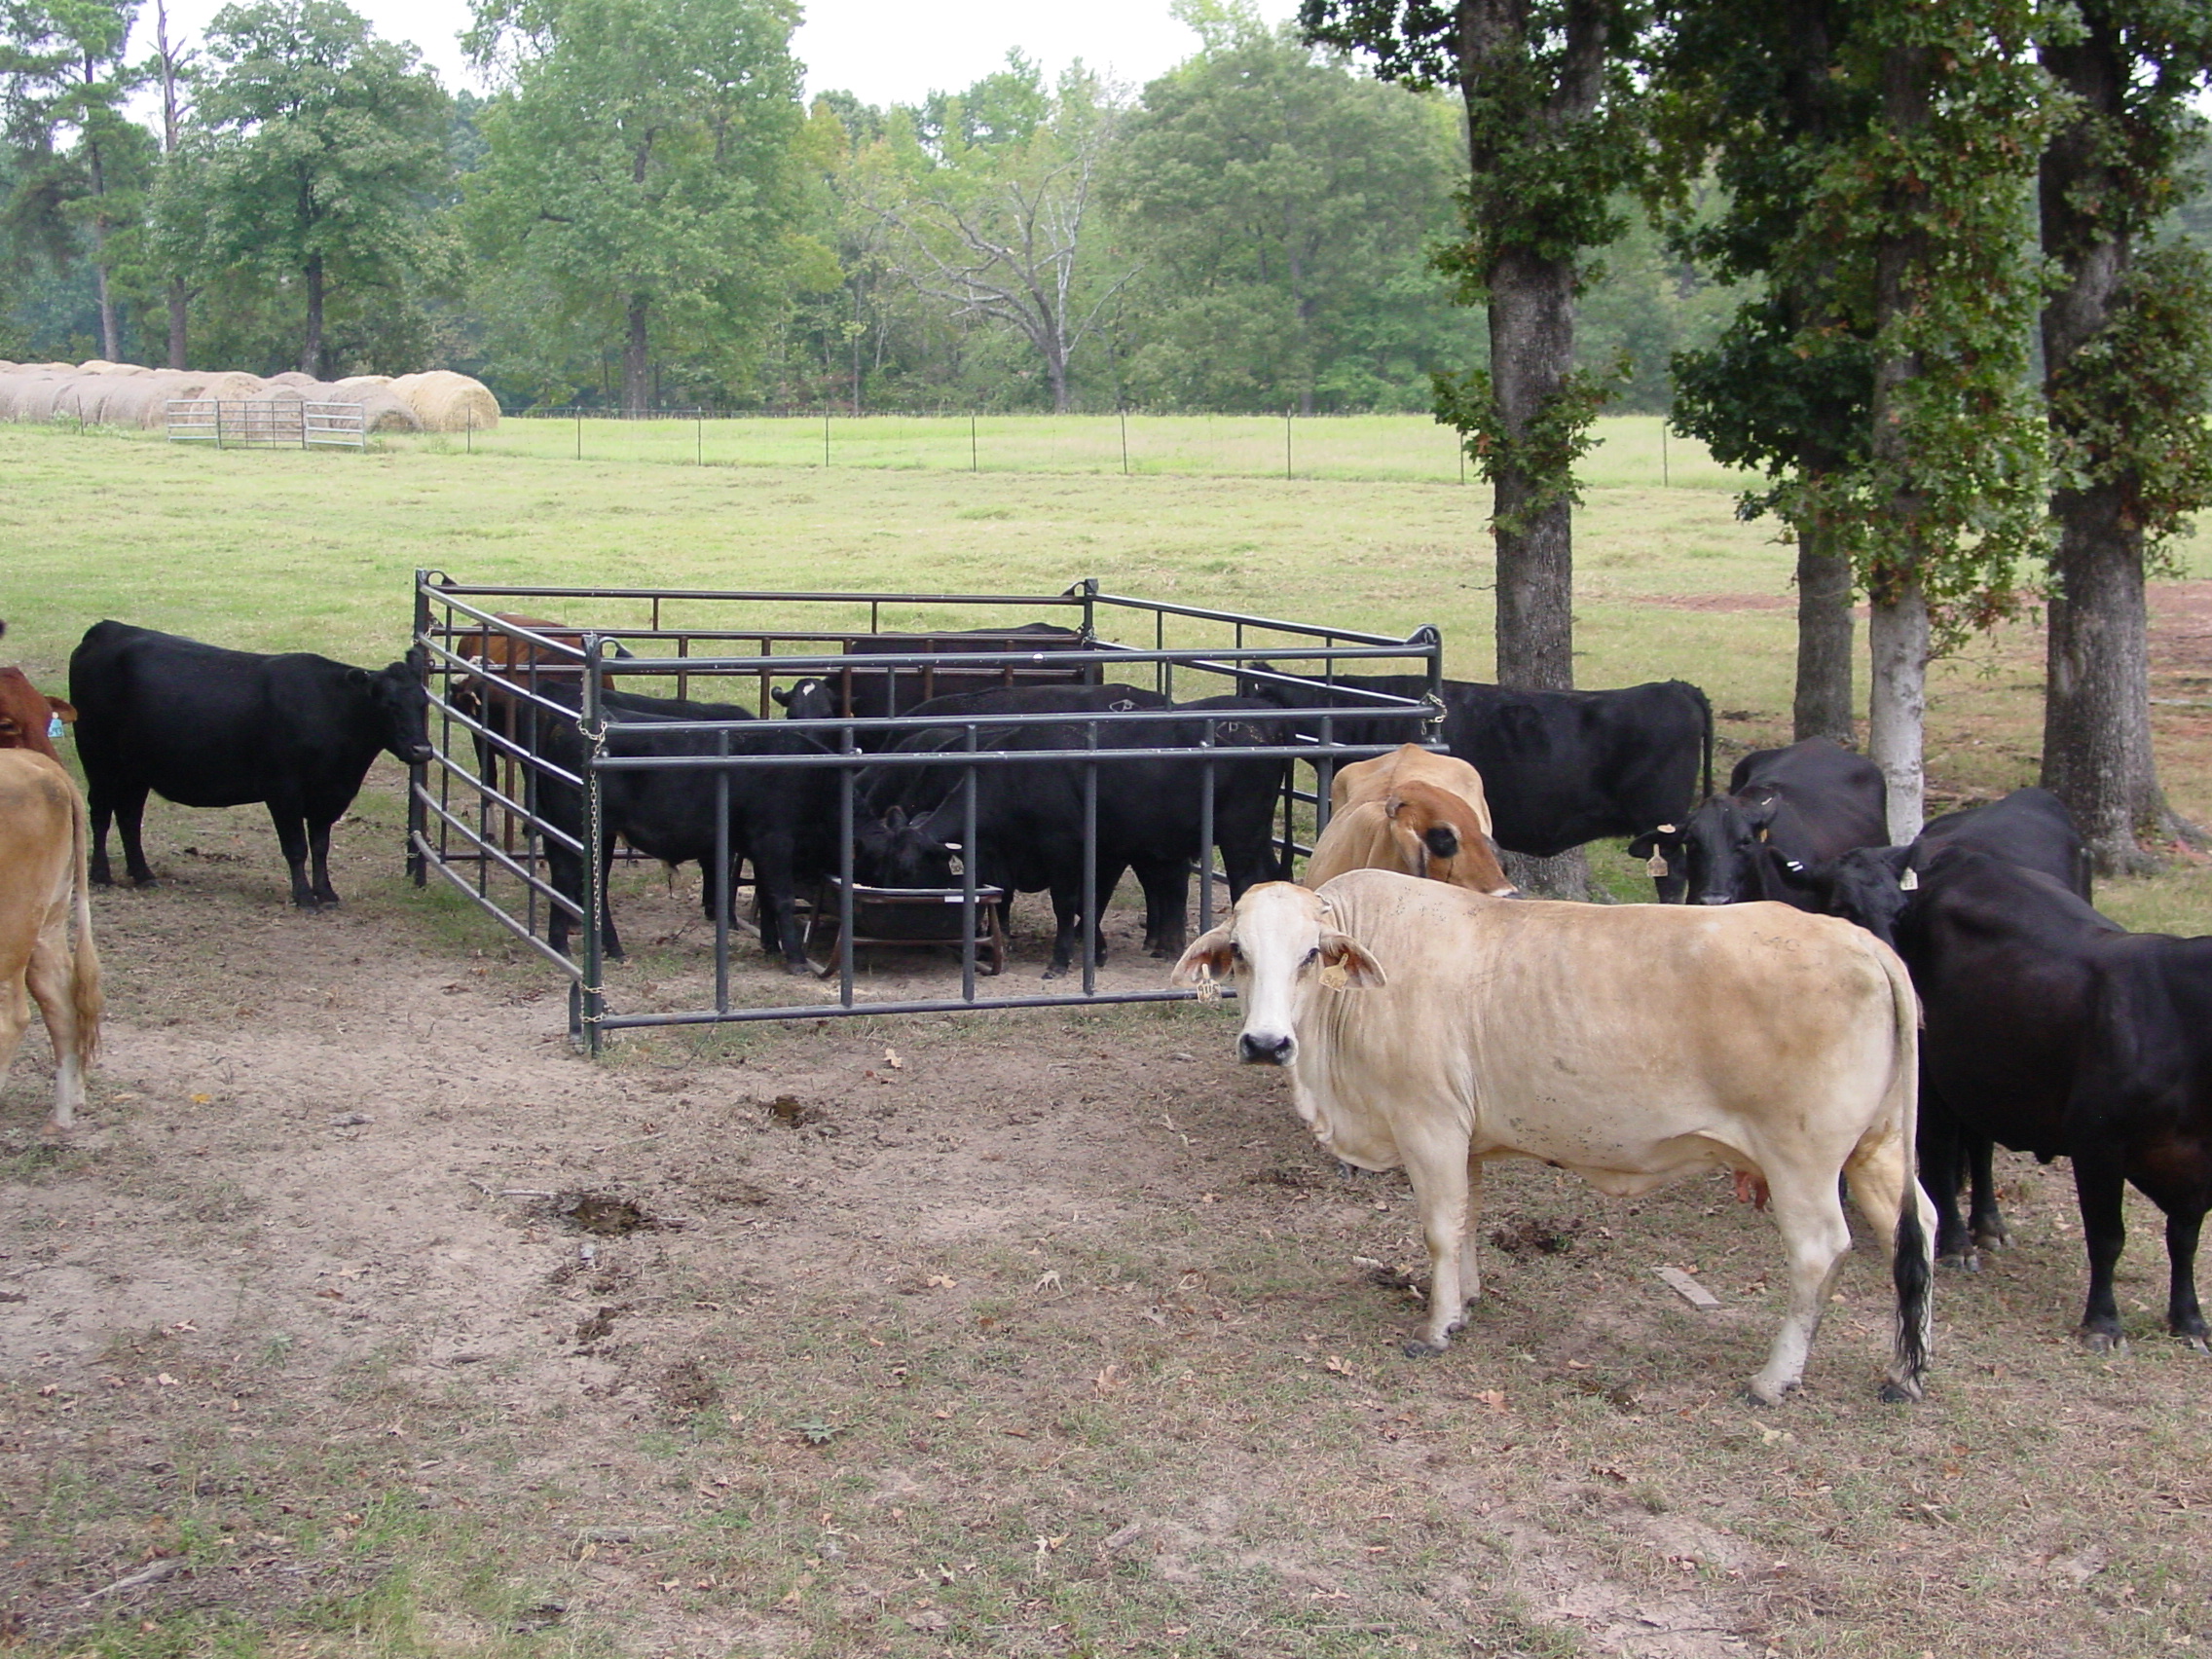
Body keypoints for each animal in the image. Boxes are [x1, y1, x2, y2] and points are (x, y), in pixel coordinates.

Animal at [69, 621, 434, 909]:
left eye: (423, 702)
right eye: (388, 704)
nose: (421, 749)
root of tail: (107, 628)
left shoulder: (330, 795)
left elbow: (320, 847)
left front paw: (327, 893)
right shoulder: (283, 789)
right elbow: (296, 847)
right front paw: (304, 897)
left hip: (135, 768)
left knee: (129, 817)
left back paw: (143, 874)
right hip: (97, 757)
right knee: (100, 814)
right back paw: (101, 875)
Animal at [858, 697, 1290, 975]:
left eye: (905, 871)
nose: (894, 925)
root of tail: (1264, 721)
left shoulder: (1063, 848)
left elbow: (1069, 904)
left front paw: (1061, 961)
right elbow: (1076, 901)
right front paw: (1092, 952)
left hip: (1239, 832)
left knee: (1245, 880)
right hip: (1253, 835)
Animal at [1171, 872, 1934, 1404]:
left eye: (1309, 955)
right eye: (1239, 952)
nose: (1266, 1043)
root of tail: (1859, 940)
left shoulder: (1429, 1125)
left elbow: (1440, 1229)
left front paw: (1436, 1329)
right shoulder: (1467, 1139)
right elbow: (1467, 1219)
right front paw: (1466, 1304)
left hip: (1802, 1163)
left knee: (1820, 1253)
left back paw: (1774, 1379)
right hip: (1878, 1149)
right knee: (1915, 1228)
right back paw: (1904, 1372)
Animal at [1891, 848, 2212, 1350]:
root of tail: (1962, 860)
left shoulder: (2196, 1165)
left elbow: (2184, 1240)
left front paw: (2190, 1322)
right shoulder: (2097, 1142)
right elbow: (2107, 1236)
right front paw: (2103, 1324)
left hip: (1987, 1075)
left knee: (1979, 1143)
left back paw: (1990, 1226)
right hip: (1932, 1070)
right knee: (1939, 1152)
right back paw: (1958, 1245)